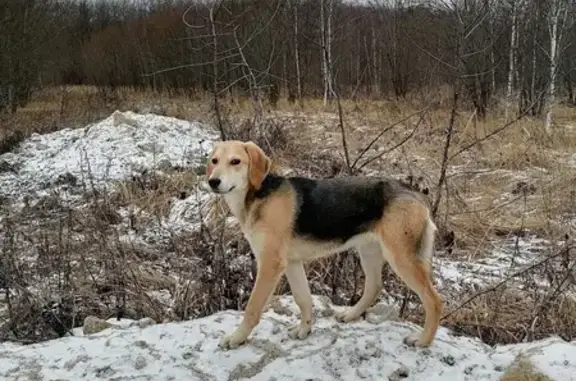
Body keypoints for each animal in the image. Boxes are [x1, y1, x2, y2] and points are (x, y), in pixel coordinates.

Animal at [205, 138, 444, 348]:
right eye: (214, 161)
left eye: (235, 161)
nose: (213, 182)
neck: (256, 194)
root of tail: (415, 193)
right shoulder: (292, 264)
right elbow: (303, 299)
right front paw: (304, 330)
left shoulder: (270, 265)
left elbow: (252, 308)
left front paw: (237, 338)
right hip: (369, 252)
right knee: (374, 286)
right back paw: (351, 314)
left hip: (401, 258)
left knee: (434, 300)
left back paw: (423, 341)